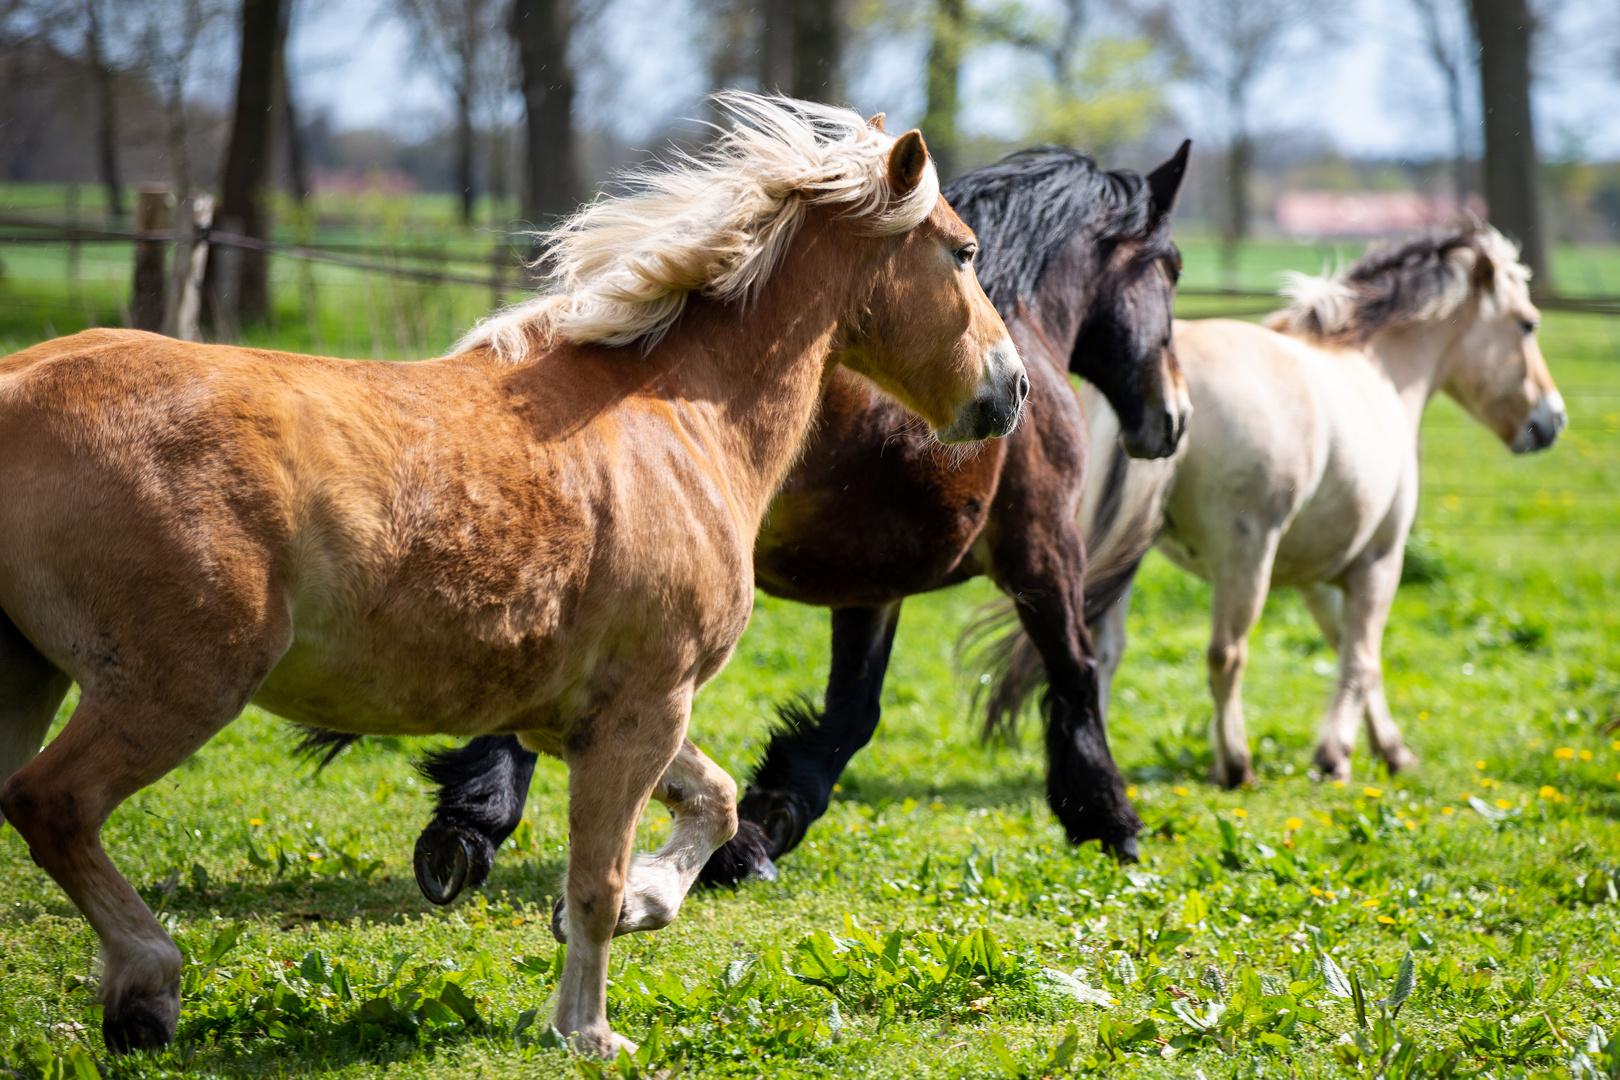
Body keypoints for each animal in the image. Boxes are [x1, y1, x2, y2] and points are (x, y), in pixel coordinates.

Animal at [0, 97, 1023, 1062]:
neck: (673, 417)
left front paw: (648, 902)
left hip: (33, 675)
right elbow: (597, 878)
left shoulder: (588, 715)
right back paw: (147, 988)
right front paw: (589, 1029)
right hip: (176, 686)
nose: (1008, 389)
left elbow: (714, 801)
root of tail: (16, 387)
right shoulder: (645, 709)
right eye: (963, 252)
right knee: (51, 803)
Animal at [379, 143, 1192, 906]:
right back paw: (474, 826)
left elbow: (852, 711)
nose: (1174, 418)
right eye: (1173, 268)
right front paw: (1109, 820)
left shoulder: (873, 590)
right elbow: (1075, 671)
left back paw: (466, 828)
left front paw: (763, 822)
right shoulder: (1042, 547)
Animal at [978, 223, 1561, 790]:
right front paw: (1336, 755)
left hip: (1116, 555)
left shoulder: (1317, 578)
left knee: (1103, 650)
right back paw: (1236, 766)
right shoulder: (1379, 561)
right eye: (1528, 325)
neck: (1377, 367)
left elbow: (1347, 648)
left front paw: (1389, 749)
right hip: (1246, 560)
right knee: (1226, 653)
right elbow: (1362, 657)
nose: (1551, 420)